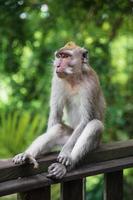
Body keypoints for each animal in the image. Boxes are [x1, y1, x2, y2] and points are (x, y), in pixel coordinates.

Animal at [12, 41, 106, 179]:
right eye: (59, 56)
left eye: (66, 56)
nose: (57, 64)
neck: (74, 79)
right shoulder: (56, 80)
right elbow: (56, 115)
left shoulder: (90, 85)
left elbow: (86, 119)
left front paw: (66, 153)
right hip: (66, 136)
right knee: (58, 128)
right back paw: (27, 155)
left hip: (94, 142)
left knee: (95, 125)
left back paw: (65, 165)